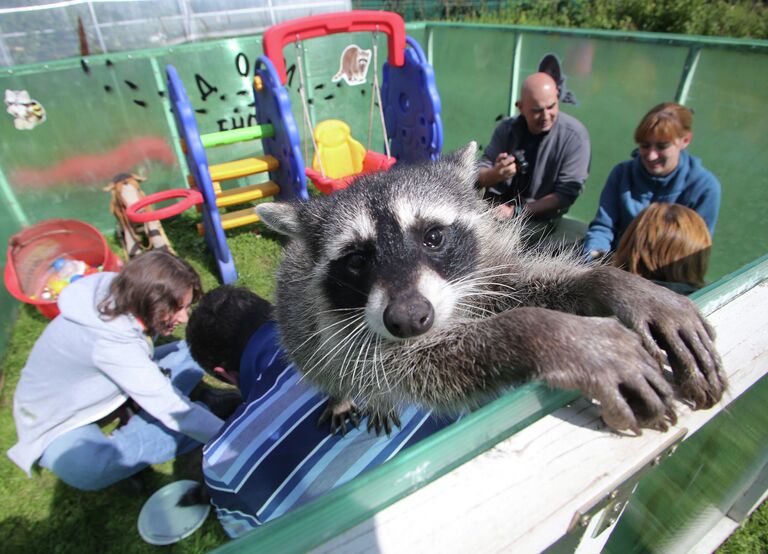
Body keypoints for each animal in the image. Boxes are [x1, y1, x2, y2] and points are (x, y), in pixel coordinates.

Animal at [258, 143, 728, 436]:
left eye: (433, 237)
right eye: (357, 260)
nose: (408, 319)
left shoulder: (481, 276)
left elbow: (518, 288)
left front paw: (612, 283)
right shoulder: (355, 336)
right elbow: (415, 366)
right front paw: (548, 334)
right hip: (297, 327)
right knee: (326, 368)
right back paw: (350, 397)